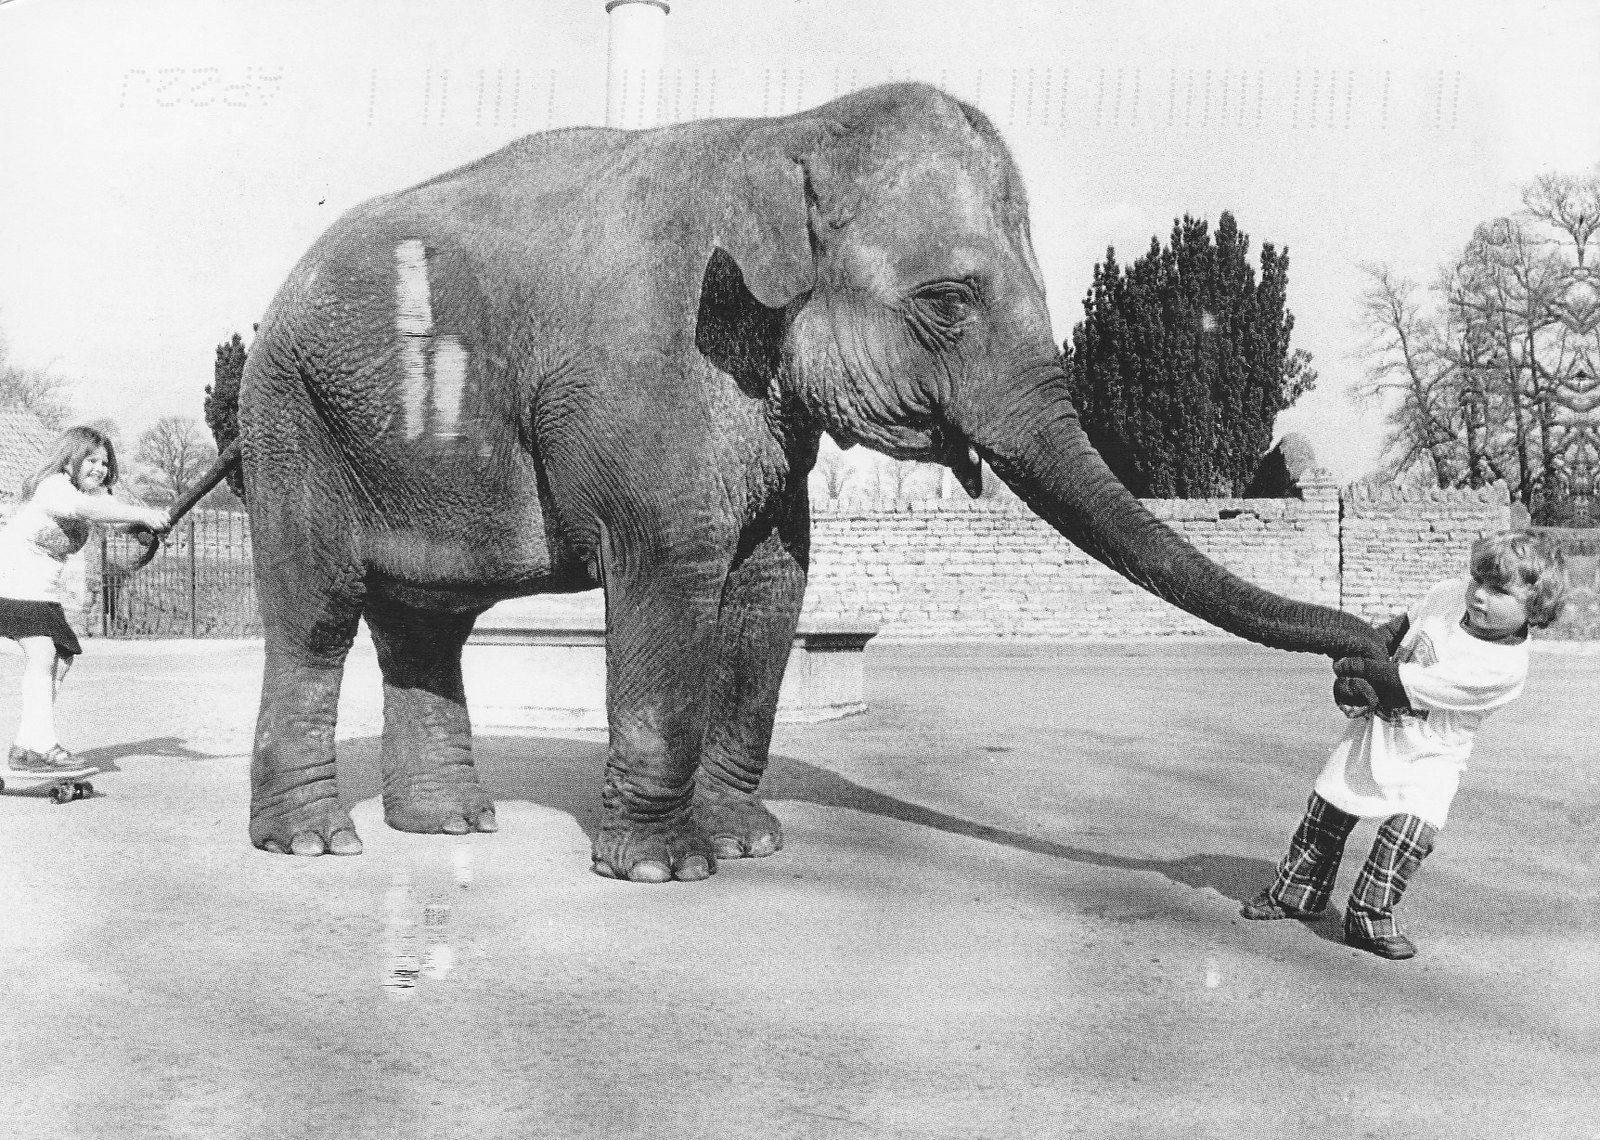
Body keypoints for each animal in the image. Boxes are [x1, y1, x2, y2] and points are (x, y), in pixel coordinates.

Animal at [228, 82, 1388, 883]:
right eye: (948, 303)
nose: (1374, 659)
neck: (782, 128)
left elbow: (770, 590)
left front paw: (749, 847)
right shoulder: (651, 382)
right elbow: (672, 577)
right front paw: (664, 870)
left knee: (427, 623)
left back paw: (451, 826)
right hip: (292, 419)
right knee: (319, 614)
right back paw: (319, 845)